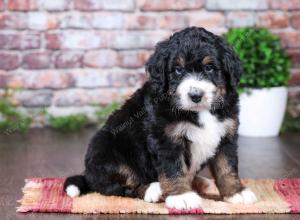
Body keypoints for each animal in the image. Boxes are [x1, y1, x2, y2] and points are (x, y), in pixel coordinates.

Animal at [64, 26, 256, 209]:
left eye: (209, 68)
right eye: (178, 70)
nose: (195, 95)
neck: (200, 111)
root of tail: (88, 174)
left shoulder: (227, 134)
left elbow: (227, 167)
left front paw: (236, 192)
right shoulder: (166, 138)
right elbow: (173, 168)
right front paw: (181, 196)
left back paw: (201, 183)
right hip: (107, 149)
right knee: (120, 186)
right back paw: (154, 190)